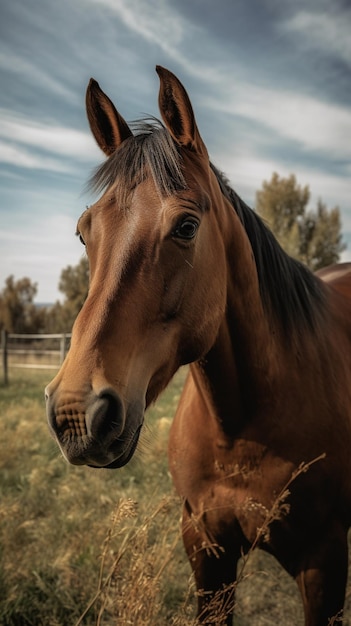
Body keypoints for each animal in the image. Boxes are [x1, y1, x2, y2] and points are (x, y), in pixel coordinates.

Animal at [45, 66, 351, 620]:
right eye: (83, 231)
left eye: (186, 226)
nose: (77, 415)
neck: (242, 427)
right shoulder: (206, 548)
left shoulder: (324, 560)